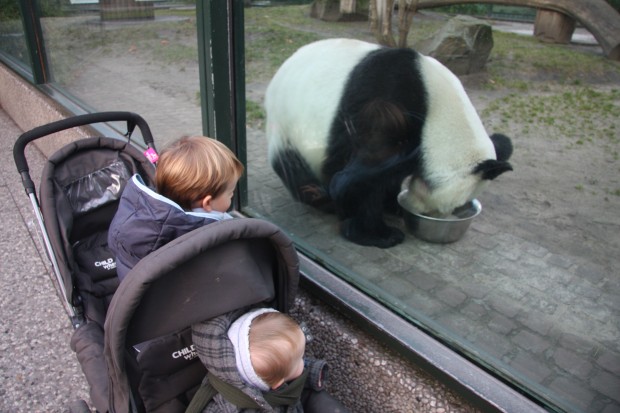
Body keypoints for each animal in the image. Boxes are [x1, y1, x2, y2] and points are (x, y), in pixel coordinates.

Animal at [264, 37, 512, 248]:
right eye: (457, 204)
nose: (432, 215)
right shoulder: (383, 105)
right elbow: (358, 178)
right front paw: (377, 234)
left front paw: (393, 206)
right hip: (289, 131)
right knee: (298, 171)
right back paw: (321, 198)